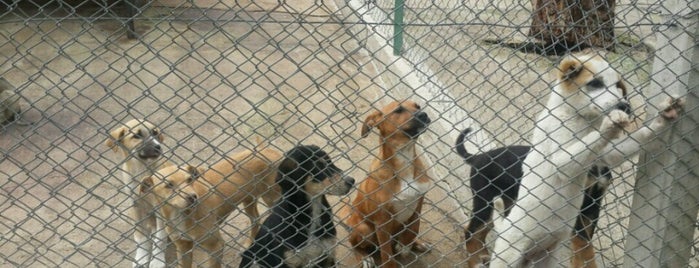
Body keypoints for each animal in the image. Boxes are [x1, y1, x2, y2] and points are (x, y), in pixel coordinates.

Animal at [106, 119, 173, 268]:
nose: (158, 147)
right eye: (137, 136)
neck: (142, 170)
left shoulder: (160, 208)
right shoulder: (135, 206)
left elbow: (160, 238)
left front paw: (157, 261)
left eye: (155, 132)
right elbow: (141, 238)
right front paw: (141, 258)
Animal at [141, 147, 284, 268]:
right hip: (248, 199)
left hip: (273, 198)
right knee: (255, 219)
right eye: (169, 185)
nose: (193, 197)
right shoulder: (183, 248)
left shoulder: (215, 245)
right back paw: (249, 244)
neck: (180, 214)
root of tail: (269, 149)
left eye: (189, 180)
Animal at [348, 100, 434, 268]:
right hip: (364, 228)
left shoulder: (419, 201)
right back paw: (364, 257)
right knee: (355, 245)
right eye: (398, 110)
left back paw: (416, 243)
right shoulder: (382, 222)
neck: (404, 159)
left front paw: (407, 243)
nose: (423, 114)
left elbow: (415, 226)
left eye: (417, 106)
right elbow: (387, 255)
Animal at [456, 127, 608, 266]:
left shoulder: (593, 204)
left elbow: (586, 240)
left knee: (484, 231)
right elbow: (584, 243)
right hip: (484, 202)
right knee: (470, 232)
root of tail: (477, 157)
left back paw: (484, 256)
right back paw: (475, 261)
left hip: (507, 206)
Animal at [494, 53, 688, 266]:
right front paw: (610, 123)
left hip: (548, 257)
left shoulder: (603, 155)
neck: (580, 119)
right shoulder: (561, 161)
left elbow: (639, 137)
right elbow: (590, 140)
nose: (626, 106)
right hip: (508, 257)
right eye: (595, 83)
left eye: (617, 86)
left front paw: (663, 117)